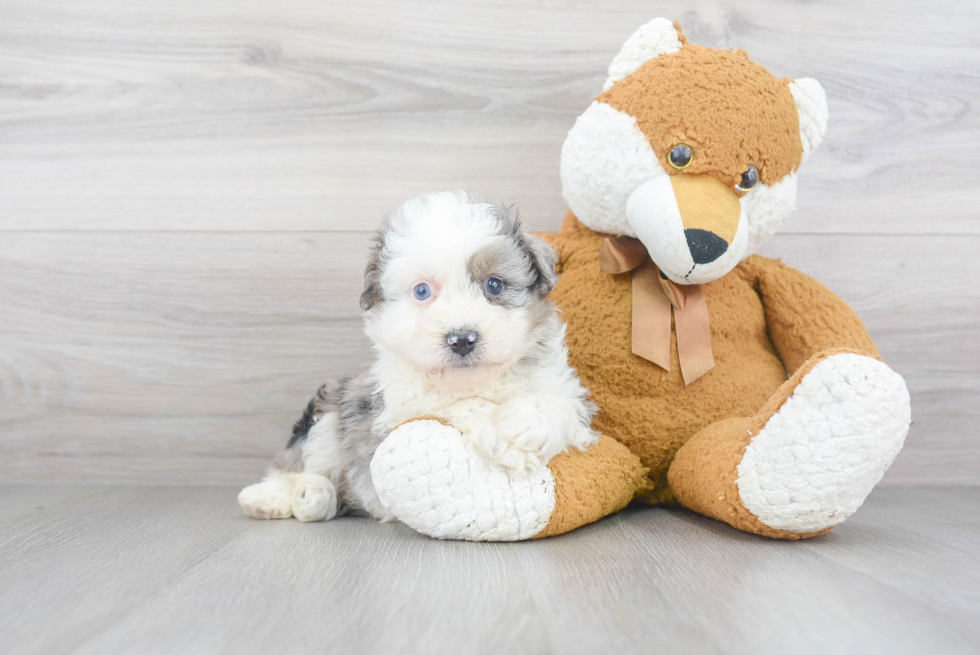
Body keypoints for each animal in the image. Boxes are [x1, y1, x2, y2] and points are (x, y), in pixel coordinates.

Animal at [237, 190, 596, 524]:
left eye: (494, 285)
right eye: (422, 291)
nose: (461, 339)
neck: (475, 381)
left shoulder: (566, 393)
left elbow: (559, 404)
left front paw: (522, 427)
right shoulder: (395, 405)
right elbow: (449, 403)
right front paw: (499, 435)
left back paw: (313, 497)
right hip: (329, 415)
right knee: (299, 465)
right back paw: (275, 497)